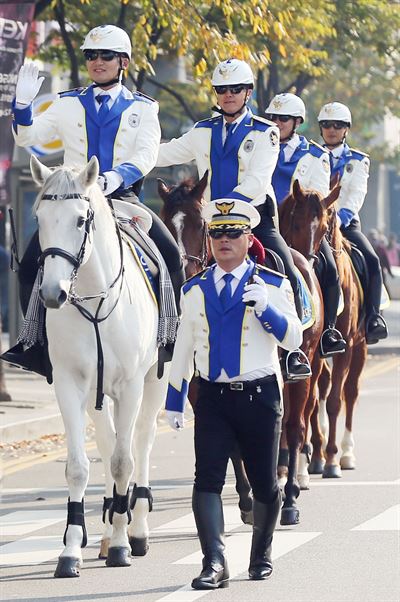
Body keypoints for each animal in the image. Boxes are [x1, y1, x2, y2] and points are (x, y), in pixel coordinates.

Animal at [31, 156, 168, 576]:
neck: (93, 297)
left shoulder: (131, 385)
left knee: (142, 441)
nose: (52, 294)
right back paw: (107, 529)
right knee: (107, 443)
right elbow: (78, 466)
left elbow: (124, 462)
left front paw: (124, 544)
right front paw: (70, 550)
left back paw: (135, 530)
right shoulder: (69, 383)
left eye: (80, 220)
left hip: (157, 381)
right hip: (97, 392)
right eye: (39, 218)